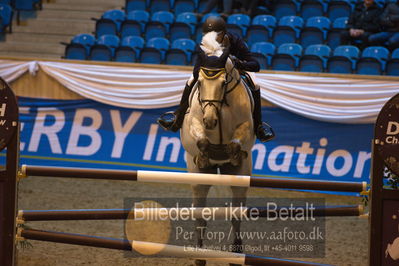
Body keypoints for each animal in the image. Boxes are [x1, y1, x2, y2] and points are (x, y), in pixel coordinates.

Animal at [181, 32, 256, 264]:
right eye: (200, 82)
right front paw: (206, 156)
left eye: (224, 82)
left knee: (236, 216)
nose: (210, 121)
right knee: (200, 217)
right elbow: (201, 140)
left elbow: (235, 143)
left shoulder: (245, 126)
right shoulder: (195, 122)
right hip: (198, 181)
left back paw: (236, 251)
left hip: (242, 180)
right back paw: (199, 255)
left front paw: (232, 155)